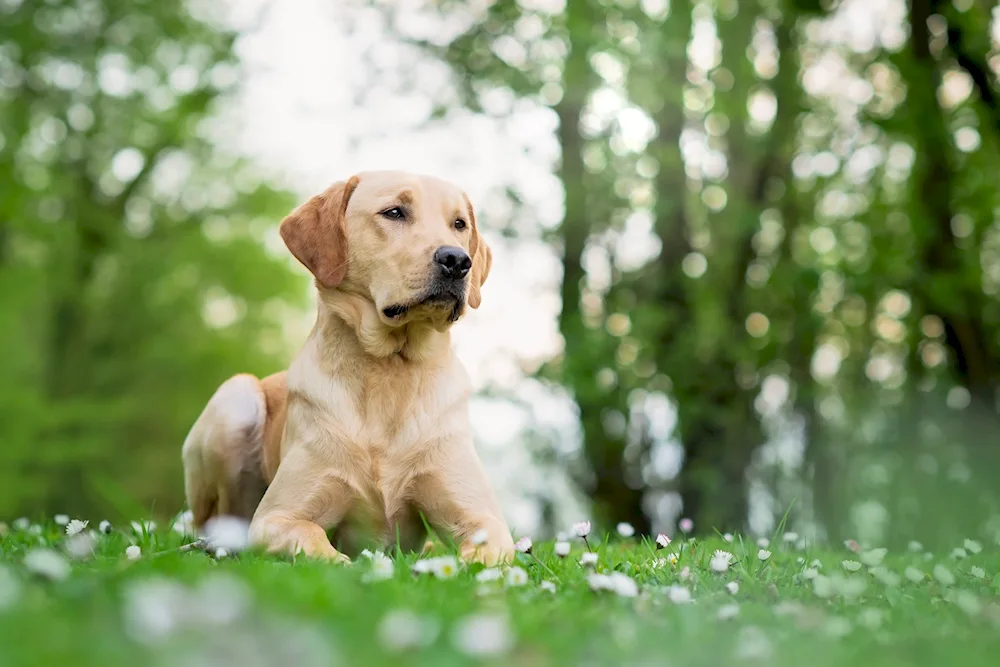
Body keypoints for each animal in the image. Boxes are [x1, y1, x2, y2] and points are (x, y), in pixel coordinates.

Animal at [182, 168, 516, 564]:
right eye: (394, 212)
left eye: (459, 224)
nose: (458, 260)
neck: (389, 368)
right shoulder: (276, 516)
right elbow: (316, 543)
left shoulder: (483, 519)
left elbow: (478, 556)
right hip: (236, 398)